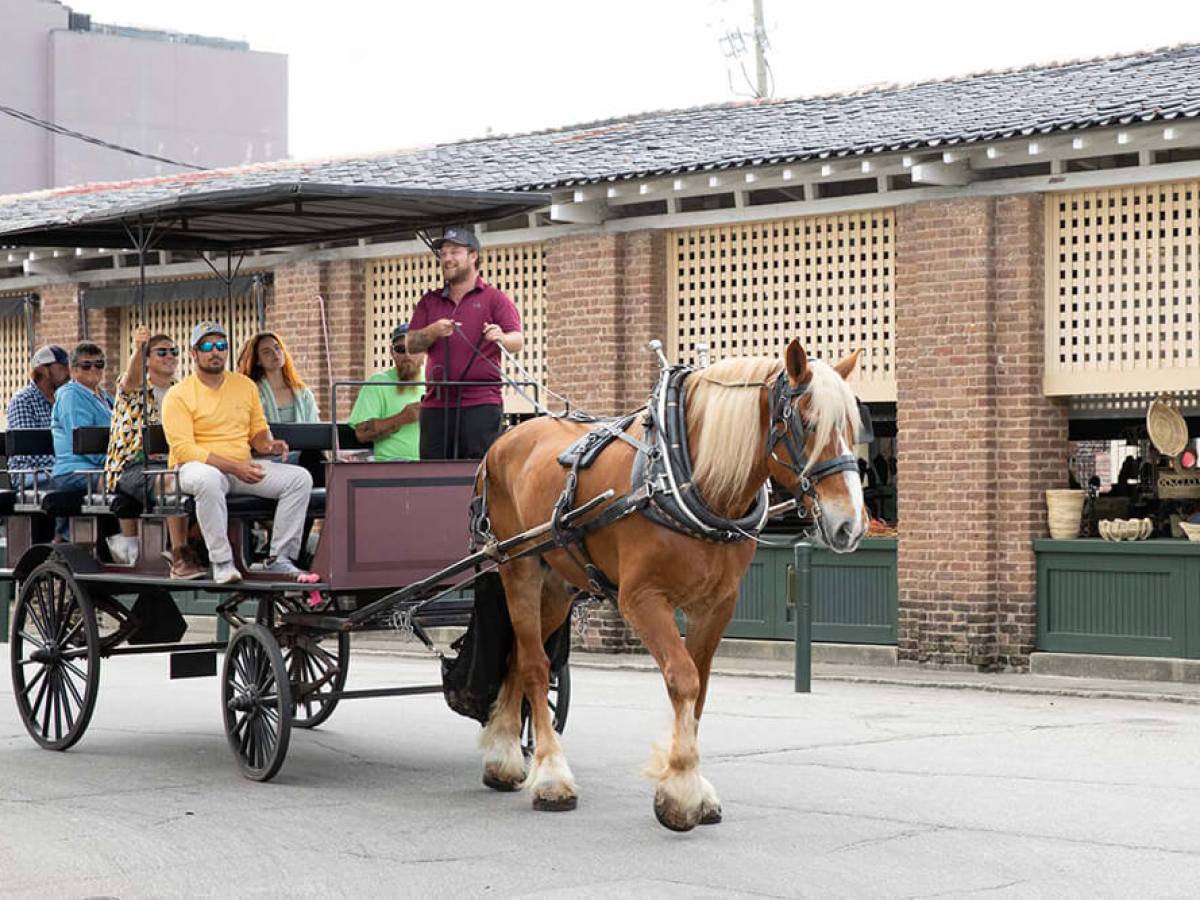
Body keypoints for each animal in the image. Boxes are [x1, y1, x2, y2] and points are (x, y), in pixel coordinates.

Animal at [472, 338, 868, 830]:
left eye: (853, 426)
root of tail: (505, 440)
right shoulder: (641, 600)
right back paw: (550, 775)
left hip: (558, 584)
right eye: (808, 424)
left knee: (517, 659)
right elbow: (683, 680)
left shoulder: (717, 605)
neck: (688, 479)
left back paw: (503, 758)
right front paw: (679, 791)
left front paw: (691, 787)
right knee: (534, 665)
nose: (850, 526)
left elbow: (699, 688)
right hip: (519, 568)